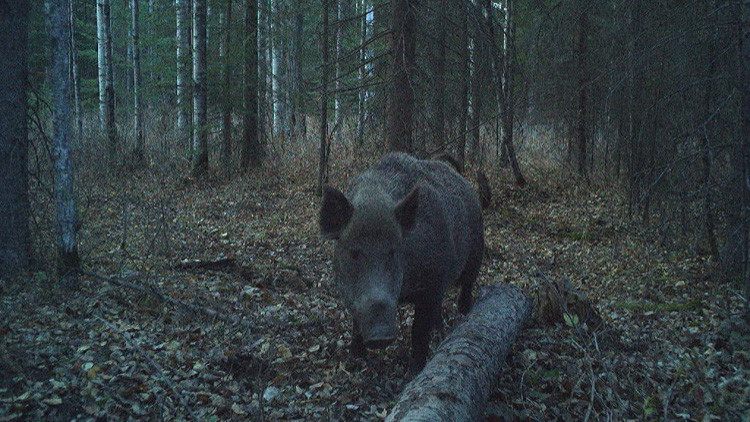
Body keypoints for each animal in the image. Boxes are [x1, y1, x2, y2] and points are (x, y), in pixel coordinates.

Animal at [319, 152, 484, 371]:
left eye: (394, 251)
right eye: (354, 253)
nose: (380, 336)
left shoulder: (431, 285)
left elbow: (419, 331)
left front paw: (416, 370)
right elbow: (356, 321)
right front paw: (356, 358)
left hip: (476, 256)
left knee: (466, 288)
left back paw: (464, 315)